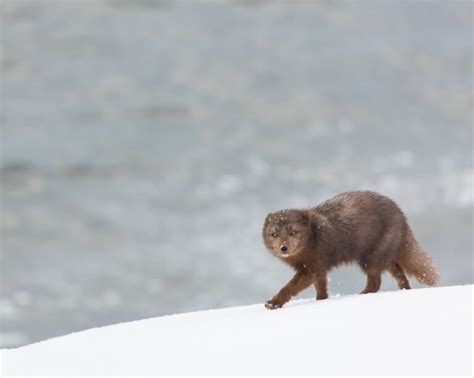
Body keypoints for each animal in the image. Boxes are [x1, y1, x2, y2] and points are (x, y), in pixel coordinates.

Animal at [262, 190, 438, 308]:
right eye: (274, 234)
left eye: (293, 232)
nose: (283, 247)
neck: (313, 236)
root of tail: (402, 216)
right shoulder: (319, 269)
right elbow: (321, 287)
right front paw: (321, 300)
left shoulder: (311, 268)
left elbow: (290, 287)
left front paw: (274, 302)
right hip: (383, 257)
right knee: (398, 273)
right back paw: (404, 290)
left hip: (370, 259)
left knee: (376, 282)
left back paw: (363, 294)